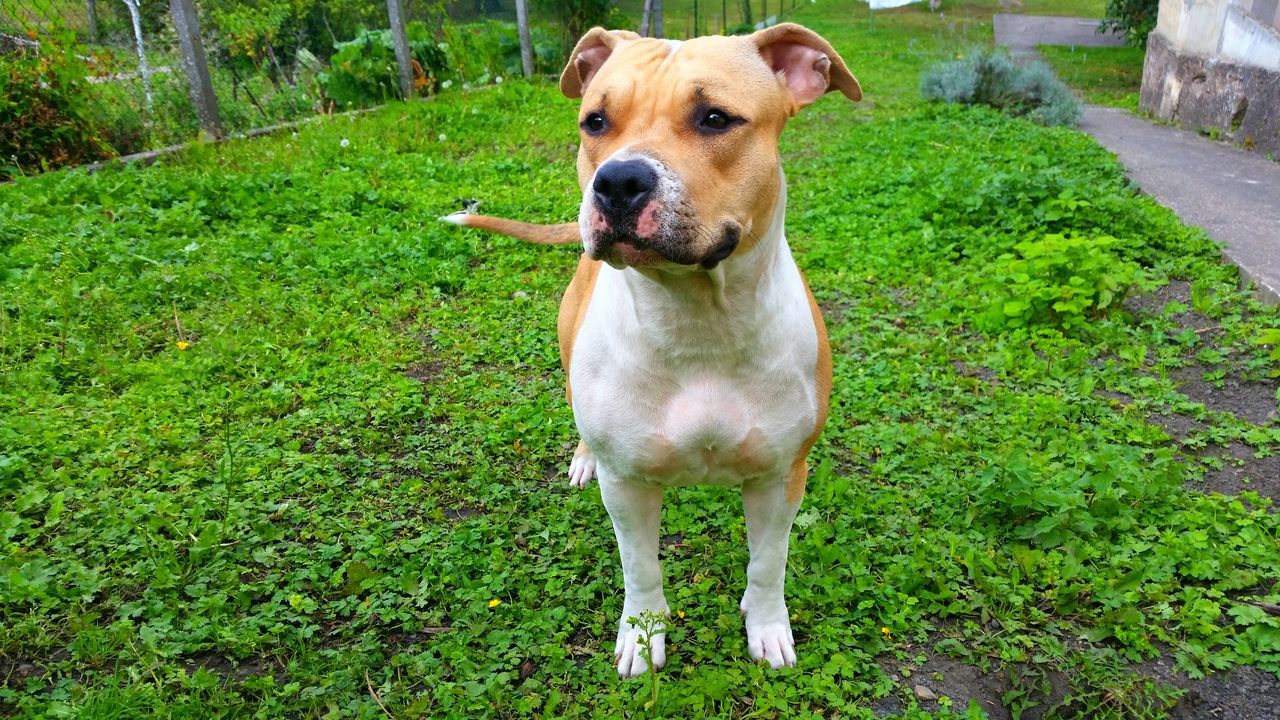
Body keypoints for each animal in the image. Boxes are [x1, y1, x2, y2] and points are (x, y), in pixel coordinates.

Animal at [445, 22, 865, 671]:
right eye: (595, 121)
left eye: (716, 118)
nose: (616, 181)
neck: (698, 322)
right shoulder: (629, 486)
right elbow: (640, 567)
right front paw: (642, 637)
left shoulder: (780, 476)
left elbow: (768, 563)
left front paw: (767, 626)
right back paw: (583, 457)